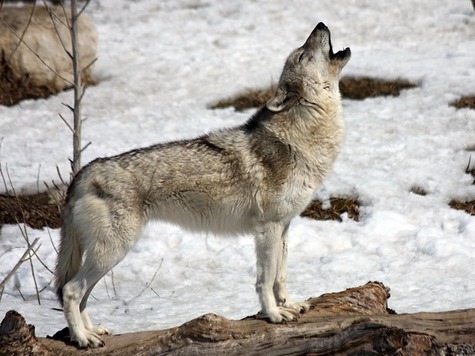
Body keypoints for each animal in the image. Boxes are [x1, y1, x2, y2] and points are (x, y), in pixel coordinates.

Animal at [56, 22, 354, 348]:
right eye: (301, 54)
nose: (321, 24)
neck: (300, 139)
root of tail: (82, 173)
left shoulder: (285, 226)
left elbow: (281, 275)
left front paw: (289, 305)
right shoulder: (268, 228)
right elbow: (265, 279)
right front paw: (274, 315)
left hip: (107, 254)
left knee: (81, 294)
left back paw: (93, 331)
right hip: (113, 251)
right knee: (70, 290)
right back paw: (82, 339)